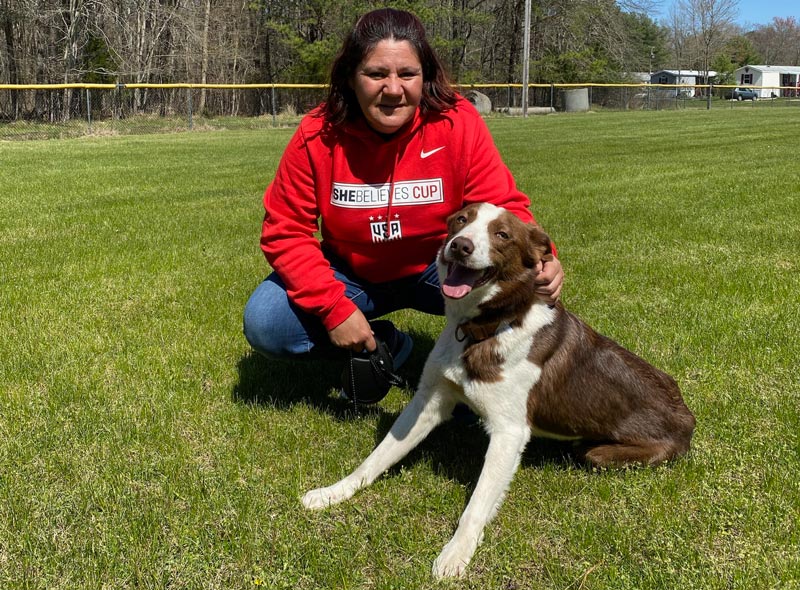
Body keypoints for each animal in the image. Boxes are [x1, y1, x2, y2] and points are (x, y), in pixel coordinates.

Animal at [300, 202, 692, 580]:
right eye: (461, 220)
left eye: (502, 234)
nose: (460, 246)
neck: (484, 327)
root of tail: (690, 420)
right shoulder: (429, 400)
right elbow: (377, 458)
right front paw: (333, 493)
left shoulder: (509, 432)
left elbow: (476, 505)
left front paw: (455, 555)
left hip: (598, 453)